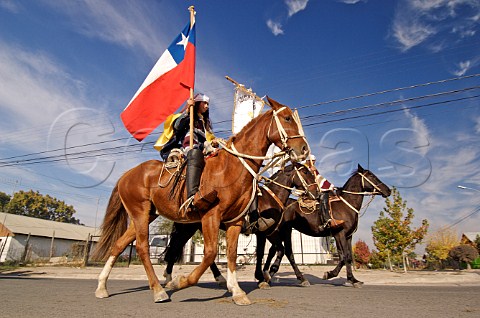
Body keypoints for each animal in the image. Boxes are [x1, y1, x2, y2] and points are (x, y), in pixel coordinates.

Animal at [159, 161, 320, 286]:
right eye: (305, 171)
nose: (317, 193)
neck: (271, 199)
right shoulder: (265, 232)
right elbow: (272, 252)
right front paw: (264, 276)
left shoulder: (267, 232)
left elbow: (272, 251)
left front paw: (265, 275)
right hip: (187, 229)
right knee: (174, 249)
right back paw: (168, 279)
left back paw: (218, 278)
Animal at [260, 165, 392, 286]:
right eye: (372, 176)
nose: (388, 190)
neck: (346, 205)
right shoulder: (340, 234)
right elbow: (344, 256)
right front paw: (330, 274)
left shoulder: (348, 236)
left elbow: (348, 256)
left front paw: (352, 279)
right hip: (284, 230)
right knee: (286, 251)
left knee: (275, 250)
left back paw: (268, 274)